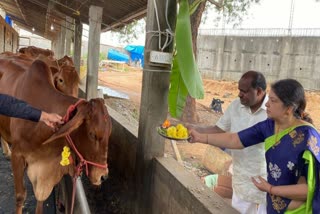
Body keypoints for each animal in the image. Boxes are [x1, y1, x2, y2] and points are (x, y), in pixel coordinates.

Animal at [0, 59, 112, 213]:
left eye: (109, 133)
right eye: (93, 134)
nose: (103, 176)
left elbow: (41, 199)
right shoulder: (17, 156)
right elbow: (20, 196)